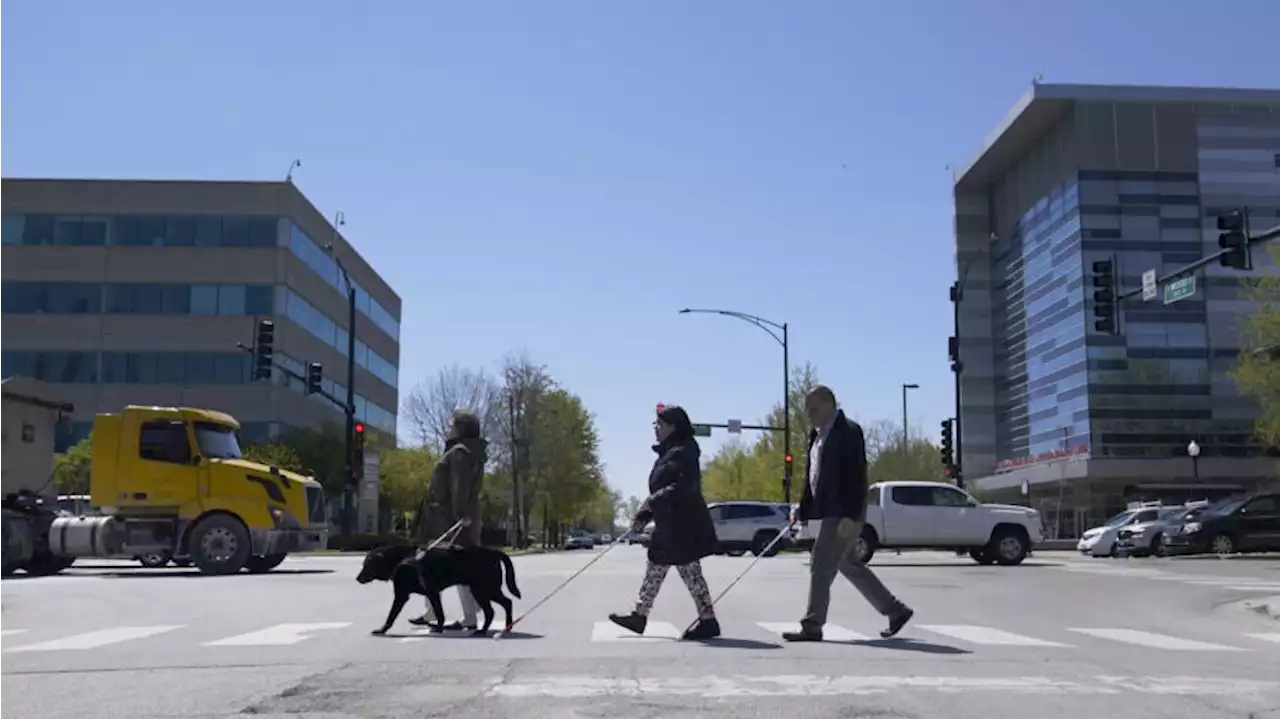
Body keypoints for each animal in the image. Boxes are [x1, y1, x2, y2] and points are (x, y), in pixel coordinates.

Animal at [355, 539, 519, 634]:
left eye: (367, 565)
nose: (357, 578)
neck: (400, 559)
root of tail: (493, 552)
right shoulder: (430, 593)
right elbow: (438, 611)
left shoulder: (409, 594)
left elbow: (392, 615)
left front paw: (382, 629)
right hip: (483, 590)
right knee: (501, 605)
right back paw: (499, 627)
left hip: (484, 589)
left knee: (499, 606)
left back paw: (489, 629)